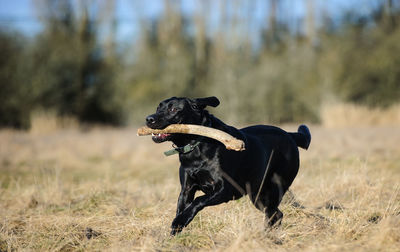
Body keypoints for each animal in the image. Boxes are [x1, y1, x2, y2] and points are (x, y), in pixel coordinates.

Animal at [145, 96, 310, 234]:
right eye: (158, 108)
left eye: (173, 109)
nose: (149, 119)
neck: (197, 144)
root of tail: (290, 135)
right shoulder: (186, 190)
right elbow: (181, 208)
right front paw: (175, 231)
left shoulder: (225, 189)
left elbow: (199, 200)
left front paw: (180, 221)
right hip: (258, 195)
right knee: (276, 214)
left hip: (272, 189)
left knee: (274, 213)